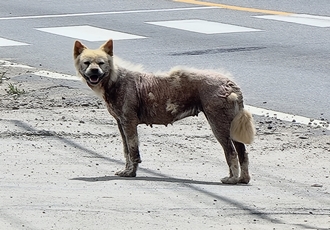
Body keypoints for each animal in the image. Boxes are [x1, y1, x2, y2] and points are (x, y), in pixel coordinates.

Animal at [74, 38, 255, 184]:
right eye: (87, 63)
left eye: (101, 63)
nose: (94, 71)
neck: (114, 79)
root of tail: (230, 83)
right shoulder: (121, 124)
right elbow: (126, 151)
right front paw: (127, 171)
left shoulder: (129, 124)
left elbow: (133, 151)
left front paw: (131, 172)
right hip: (231, 129)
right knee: (243, 154)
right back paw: (243, 179)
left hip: (219, 126)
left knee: (231, 153)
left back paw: (232, 179)